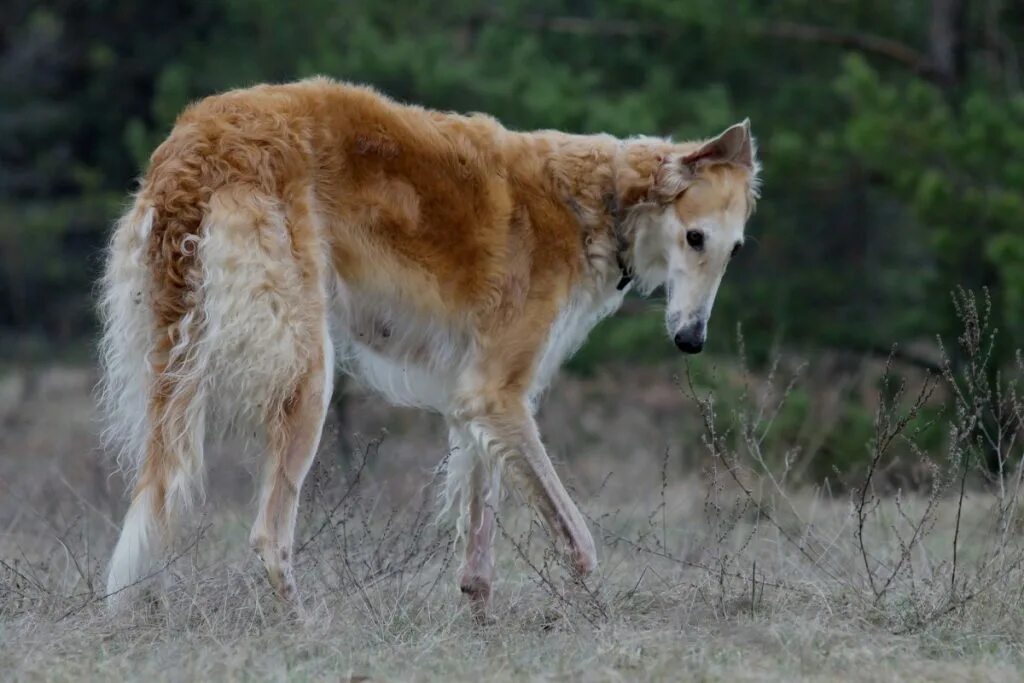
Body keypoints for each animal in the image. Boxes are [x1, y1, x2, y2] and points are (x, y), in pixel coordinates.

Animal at [101, 78, 761, 614]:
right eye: (695, 237)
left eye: (734, 249)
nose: (691, 340)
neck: (598, 202)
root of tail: (200, 141)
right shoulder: (498, 393)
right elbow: (580, 541)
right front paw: (592, 613)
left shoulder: (475, 398)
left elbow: (479, 530)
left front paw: (481, 620)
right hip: (307, 373)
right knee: (268, 535)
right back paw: (305, 629)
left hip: (172, 365)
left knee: (156, 500)